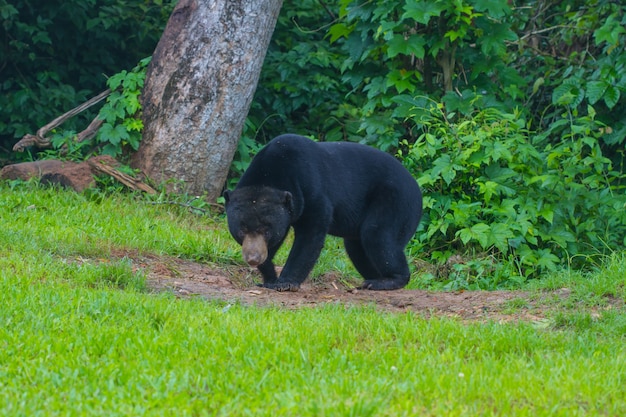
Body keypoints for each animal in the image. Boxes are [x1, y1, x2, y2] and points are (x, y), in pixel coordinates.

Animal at [222, 133, 422, 290]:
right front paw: (269, 278)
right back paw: (373, 278)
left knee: (378, 235)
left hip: (395, 201)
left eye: (266, 230)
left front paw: (285, 282)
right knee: (356, 246)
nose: (253, 259)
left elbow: (311, 234)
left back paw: (387, 280)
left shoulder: (310, 190)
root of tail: (417, 189)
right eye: (241, 230)